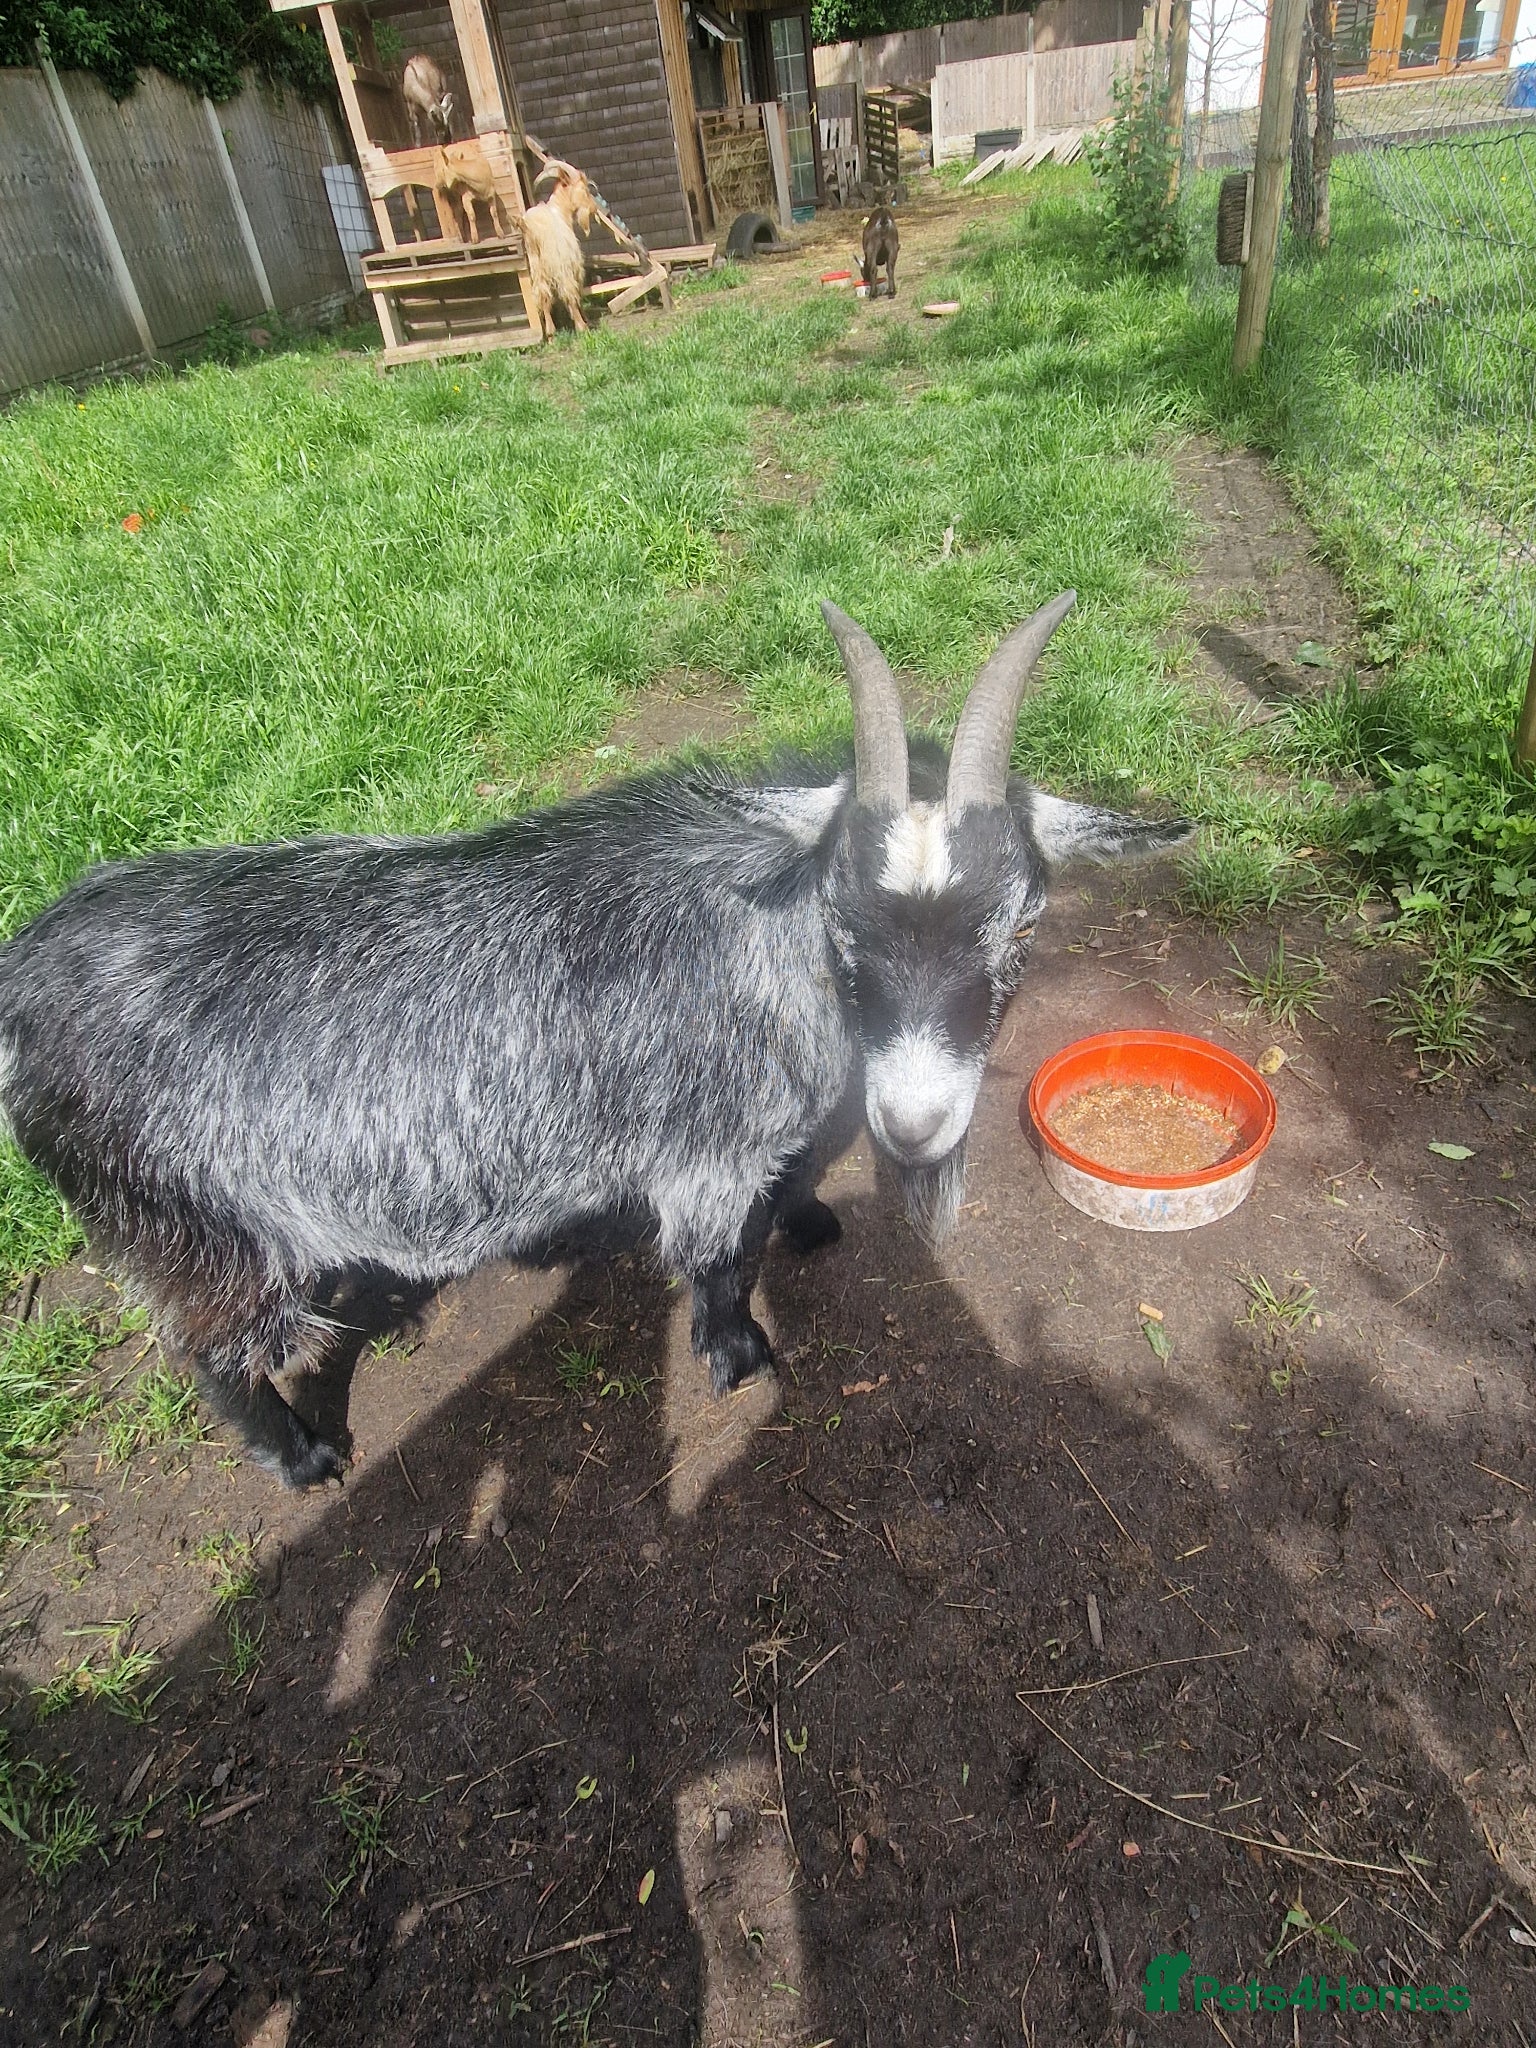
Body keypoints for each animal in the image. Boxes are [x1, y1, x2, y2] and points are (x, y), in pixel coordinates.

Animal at [0, 596, 1190, 1489]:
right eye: (843, 923)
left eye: (1024, 927)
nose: (914, 1120)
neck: (767, 936)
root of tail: (21, 976)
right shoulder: (706, 1151)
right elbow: (720, 1258)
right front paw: (739, 1354)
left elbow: (791, 1182)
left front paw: (809, 1217)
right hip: (180, 1226)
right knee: (206, 1350)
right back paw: (301, 1458)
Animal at [522, 160, 597, 340]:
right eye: (584, 189)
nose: (593, 208)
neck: (560, 210)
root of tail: (533, 231)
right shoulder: (571, 263)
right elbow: (576, 292)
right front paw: (585, 320)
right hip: (560, 264)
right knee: (568, 291)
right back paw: (581, 327)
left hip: (537, 267)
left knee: (543, 295)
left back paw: (550, 334)